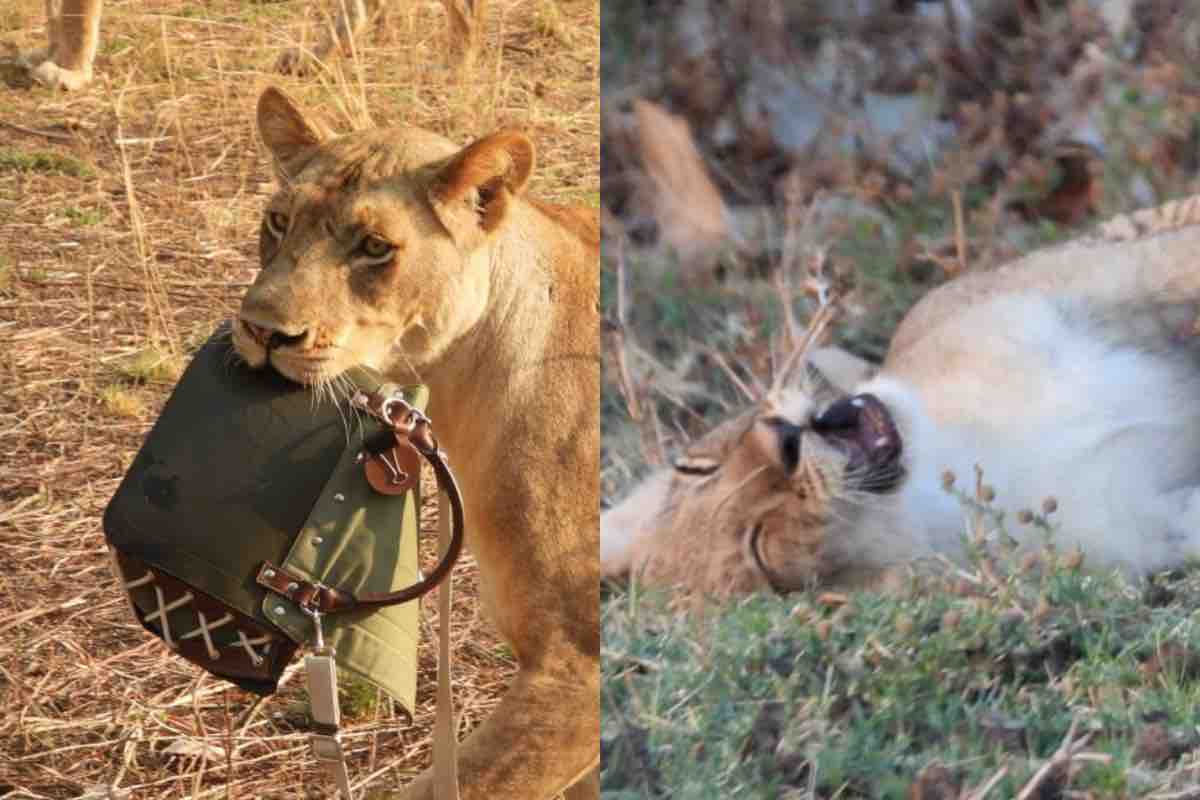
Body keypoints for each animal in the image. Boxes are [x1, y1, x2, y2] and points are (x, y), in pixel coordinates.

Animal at [600, 195, 1200, 594]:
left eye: (697, 466)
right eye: (759, 546)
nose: (783, 441)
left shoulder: (1088, 281)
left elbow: (1173, 262)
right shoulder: (1152, 528)